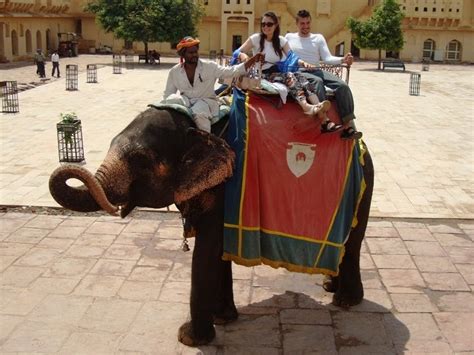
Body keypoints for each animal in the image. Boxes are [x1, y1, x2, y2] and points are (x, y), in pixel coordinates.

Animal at [48, 106, 374, 348]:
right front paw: (223, 318)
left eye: (141, 160)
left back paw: (345, 300)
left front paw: (190, 338)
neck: (197, 129)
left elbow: (208, 248)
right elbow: (217, 251)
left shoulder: (225, 188)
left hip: (363, 186)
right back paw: (330, 285)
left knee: (353, 243)